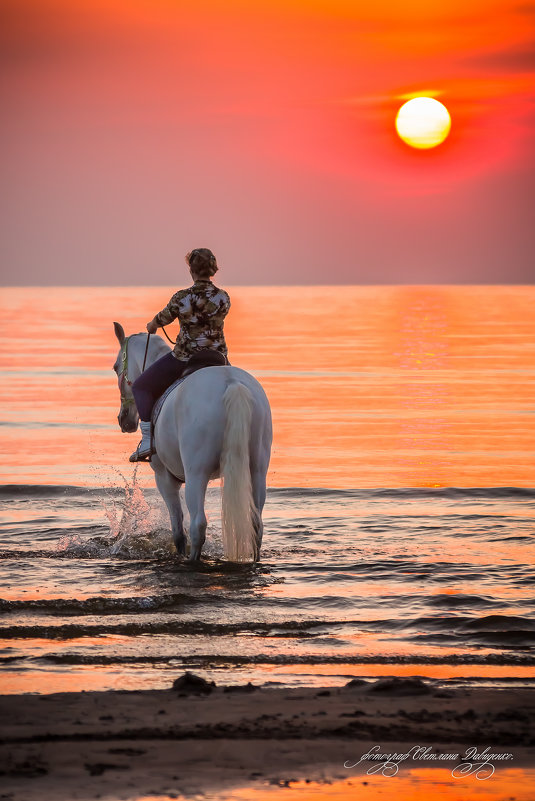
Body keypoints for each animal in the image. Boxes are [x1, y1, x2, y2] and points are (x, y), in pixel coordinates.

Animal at [112, 322, 272, 560]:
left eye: (115, 367)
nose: (124, 420)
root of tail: (232, 384)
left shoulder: (165, 479)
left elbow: (178, 532)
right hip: (257, 470)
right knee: (256, 525)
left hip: (197, 474)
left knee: (198, 525)